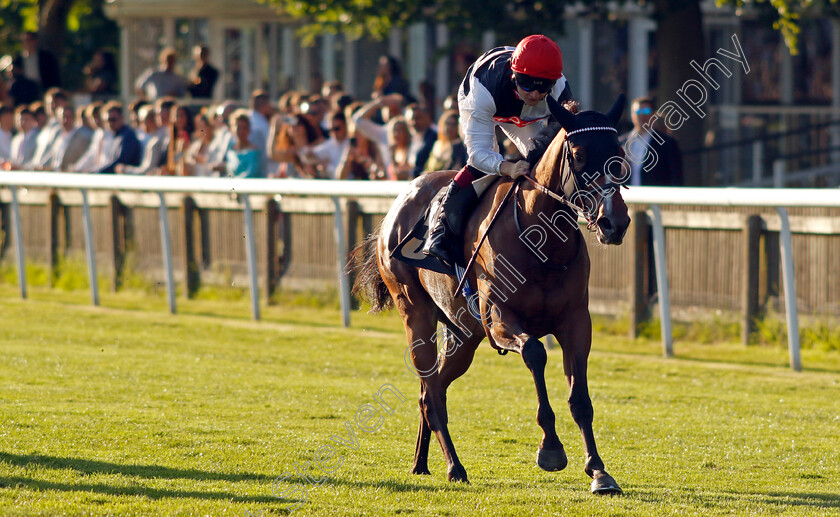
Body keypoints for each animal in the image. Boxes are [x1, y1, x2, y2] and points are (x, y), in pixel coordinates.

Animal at [352, 94, 632, 494]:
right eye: (578, 156)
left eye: (619, 154)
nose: (614, 222)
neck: (540, 241)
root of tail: (398, 203)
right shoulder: (499, 318)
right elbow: (534, 352)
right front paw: (550, 450)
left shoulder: (577, 321)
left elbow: (580, 398)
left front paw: (599, 471)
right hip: (416, 314)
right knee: (431, 392)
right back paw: (454, 466)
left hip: (463, 334)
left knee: (432, 388)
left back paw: (421, 463)